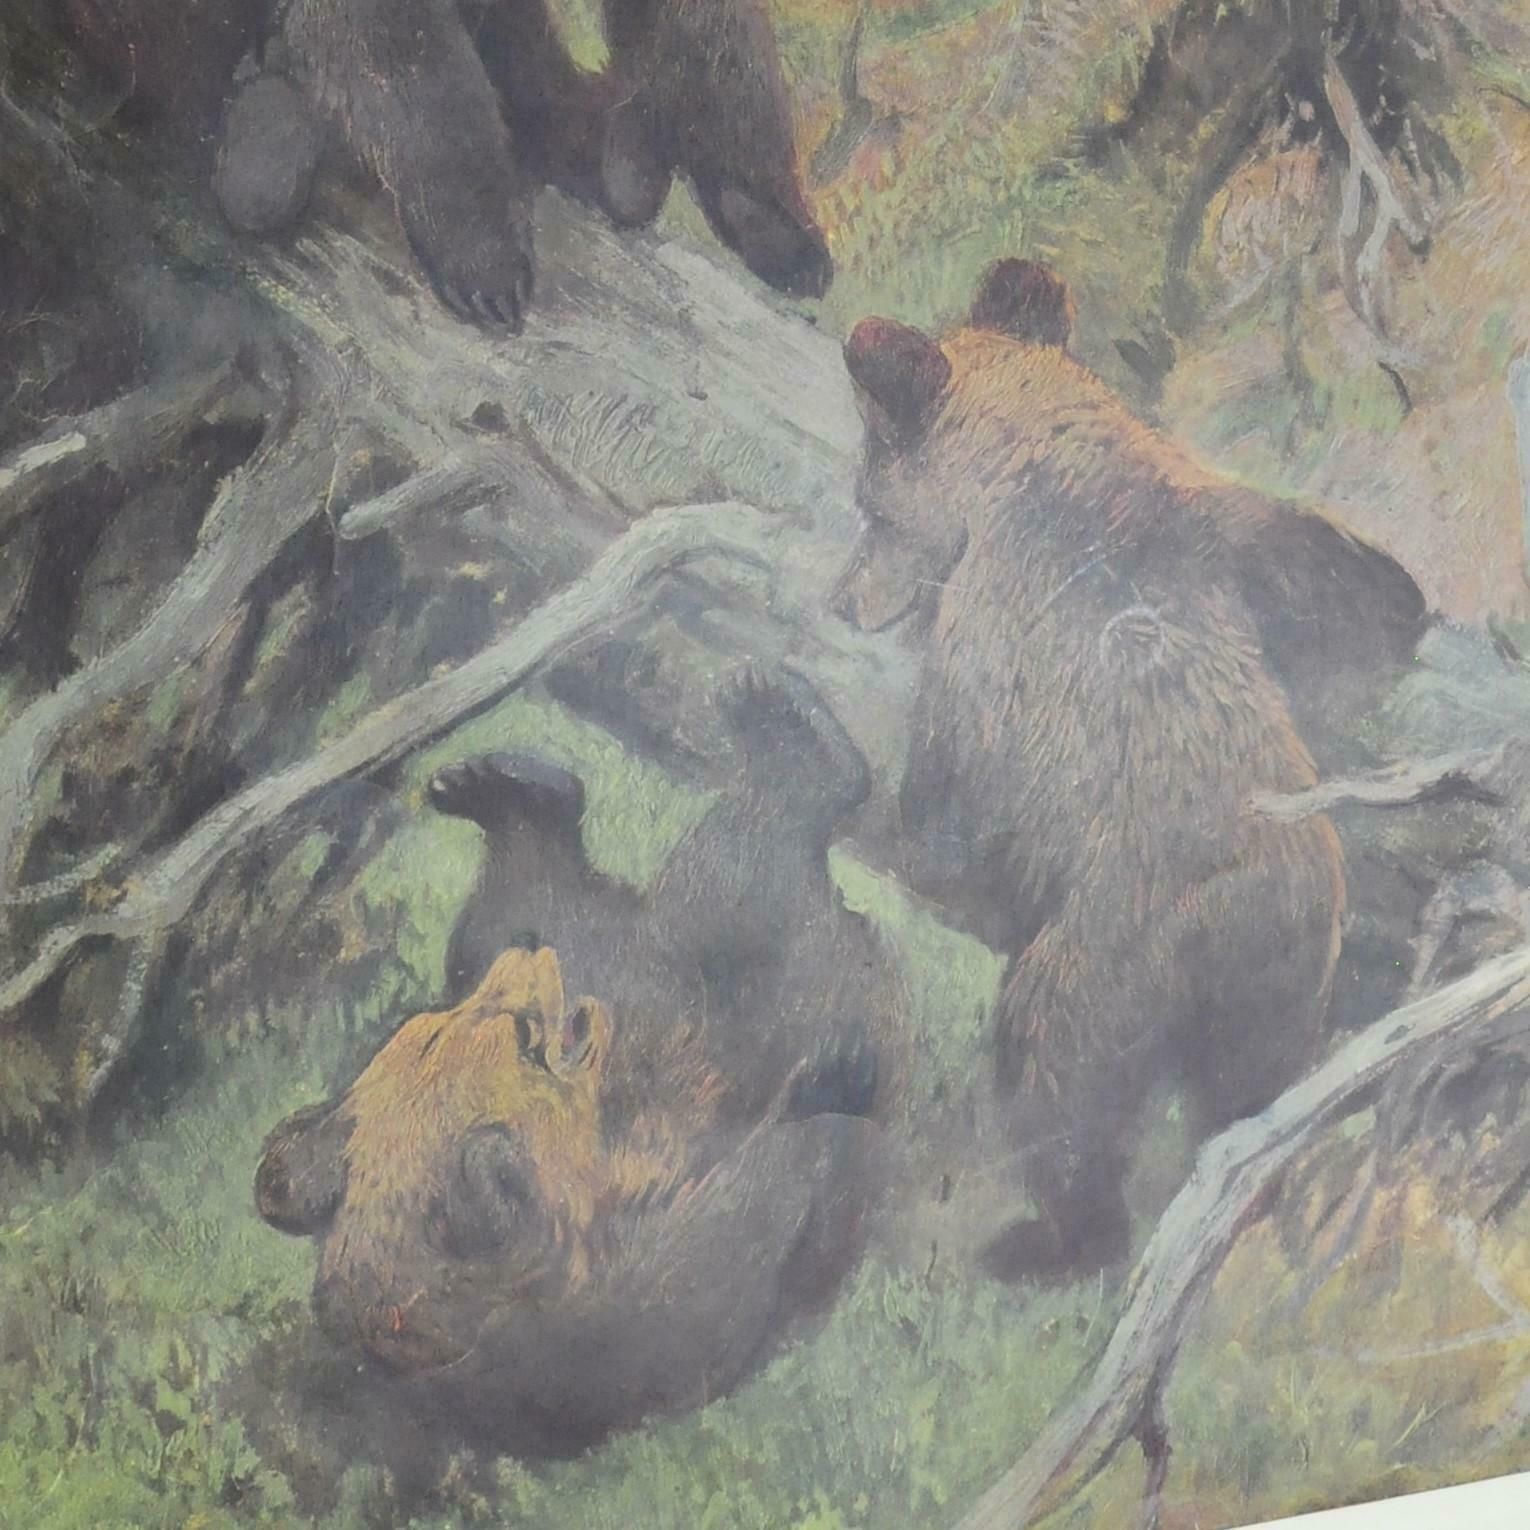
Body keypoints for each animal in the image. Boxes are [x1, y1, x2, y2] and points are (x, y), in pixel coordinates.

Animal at [833, 259, 1427, 1283]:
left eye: (872, 503)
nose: (841, 598)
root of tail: (1231, 918)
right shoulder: (1220, 520)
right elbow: (1356, 590)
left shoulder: (992, 647)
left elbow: (949, 805)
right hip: (1291, 974)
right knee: (1247, 1085)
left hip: (1115, 949)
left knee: (1057, 1067)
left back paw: (1047, 1239)